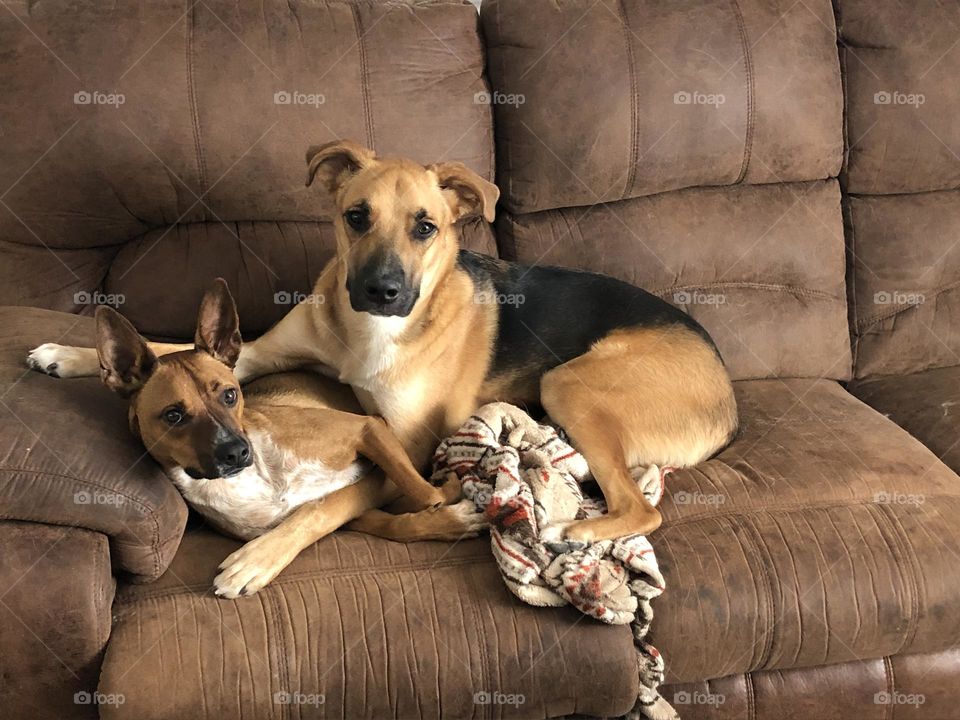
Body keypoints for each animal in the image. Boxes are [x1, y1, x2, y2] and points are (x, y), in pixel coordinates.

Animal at [26, 138, 740, 544]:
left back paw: (569, 528)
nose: (381, 290)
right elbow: (167, 347)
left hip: (566, 382)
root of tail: (727, 399)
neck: (364, 335)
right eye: (355, 217)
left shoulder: (408, 439)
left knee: (640, 509)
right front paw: (63, 354)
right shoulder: (256, 353)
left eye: (426, 227)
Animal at [88, 278, 480, 600]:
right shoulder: (355, 505)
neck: (256, 478)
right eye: (173, 416)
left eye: (230, 395)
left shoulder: (368, 430)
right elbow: (379, 521)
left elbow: (421, 493)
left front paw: (448, 497)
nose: (236, 452)